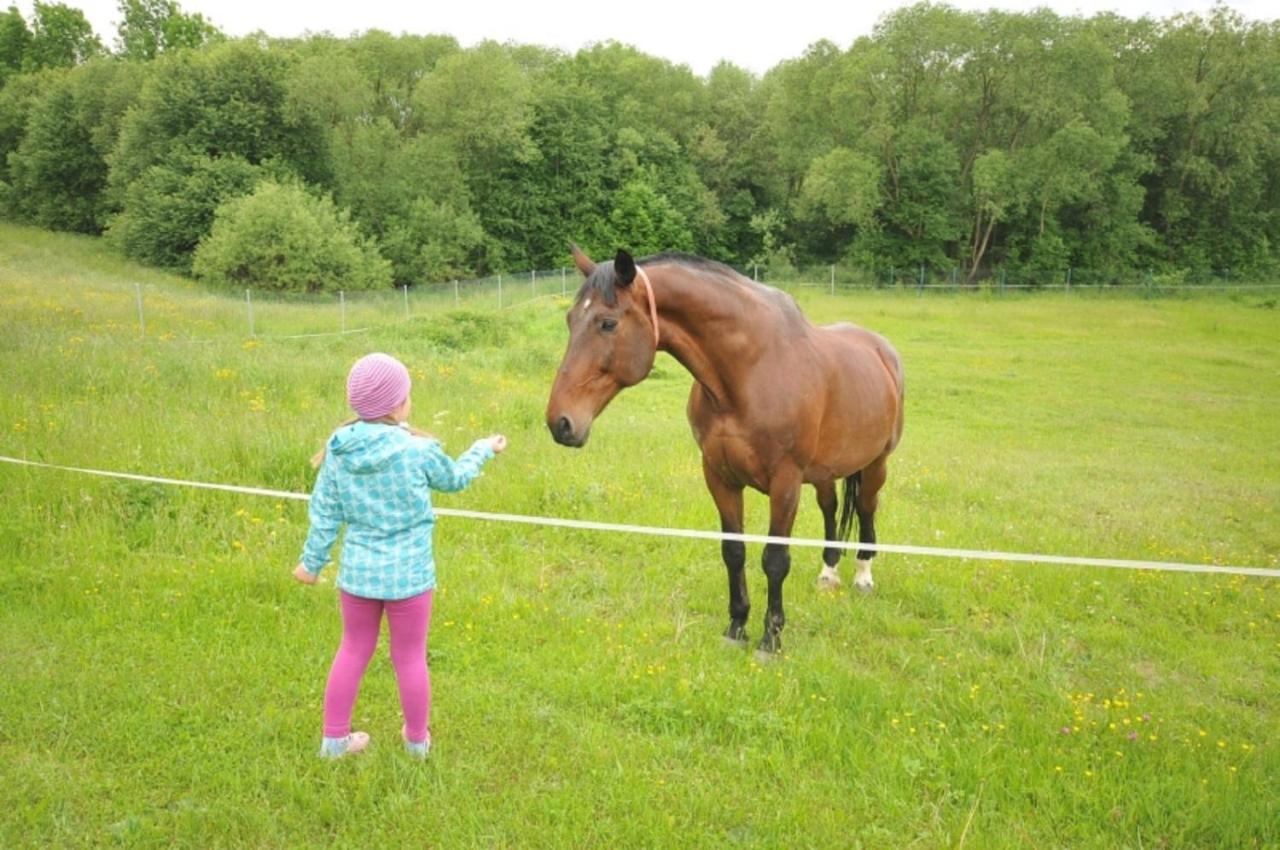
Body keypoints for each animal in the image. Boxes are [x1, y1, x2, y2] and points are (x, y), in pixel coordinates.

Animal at [545, 249, 906, 652]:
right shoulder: (719, 475)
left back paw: (863, 576)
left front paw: (770, 639)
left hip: (876, 464)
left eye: (607, 323)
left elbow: (775, 558)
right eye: (571, 320)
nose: (560, 422)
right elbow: (733, 551)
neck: (749, 371)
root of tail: (881, 349)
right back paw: (828, 573)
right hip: (824, 471)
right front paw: (736, 628)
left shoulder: (785, 482)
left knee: (866, 507)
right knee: (830, 507)